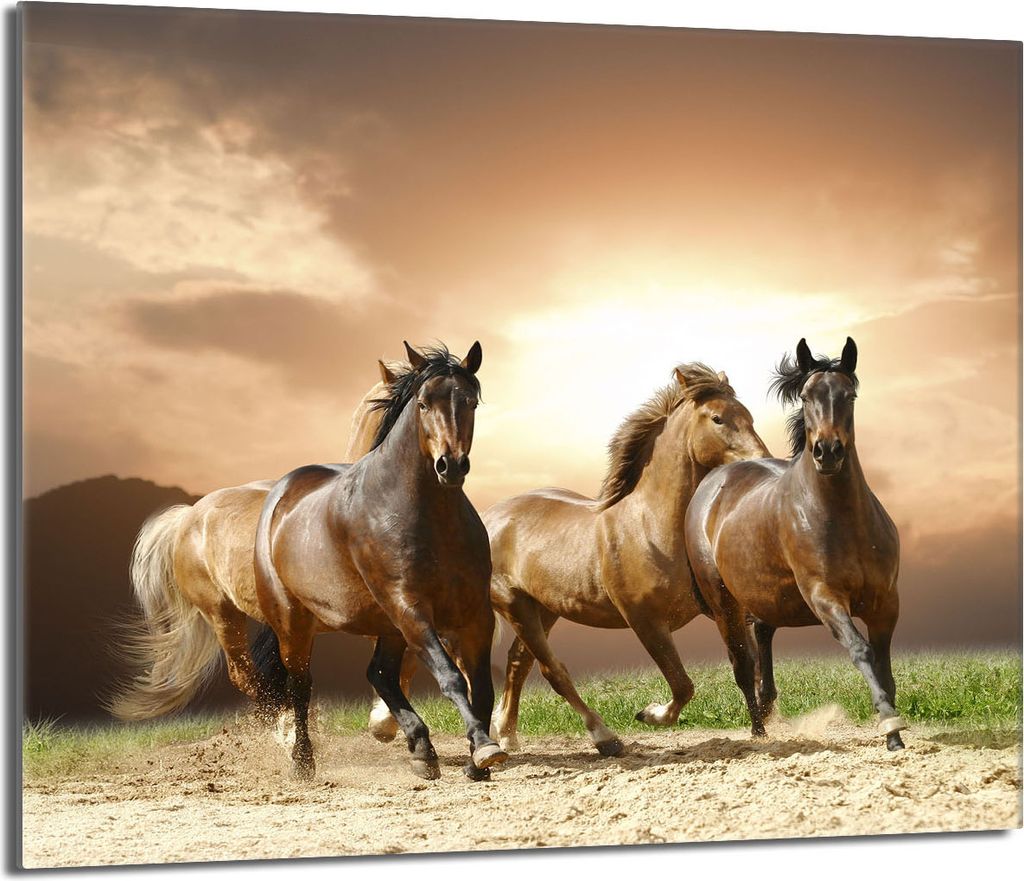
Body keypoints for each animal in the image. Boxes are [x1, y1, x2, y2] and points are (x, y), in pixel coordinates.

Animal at [253, 342, 508, 781]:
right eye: (423, 403)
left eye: (470, 402)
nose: (451, 465)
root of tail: (280, 495)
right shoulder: (411, 608)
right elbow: (451, 678)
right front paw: (485, 747)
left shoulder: (475, 614)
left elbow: (482, 685)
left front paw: (477, 759)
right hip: (295, 624)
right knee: (300, 687)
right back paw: (303, 763)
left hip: (387, 625)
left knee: (380, 673)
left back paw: (422, 750)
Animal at [485, 363, 771, 756]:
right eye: (718, 418)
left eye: (749, 416)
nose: (761, 460)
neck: (650, 526)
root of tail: (488, 517)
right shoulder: (644, 620)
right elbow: (682, 684)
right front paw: (649, 714)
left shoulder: (723, 608)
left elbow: (745, 664)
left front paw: (762, 727)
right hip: (516, 606)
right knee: (552, 670)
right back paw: (605, 738)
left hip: (544, 609)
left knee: (518, 662)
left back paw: (507, 735)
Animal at [684, 338, 907, 750]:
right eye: (805, 396)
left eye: (850, 395)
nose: (827, 452)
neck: (843, 520)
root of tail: (714, 480)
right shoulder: (824, 596)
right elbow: (862, 650)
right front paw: (890, 725)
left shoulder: (886, 602)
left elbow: (884, 665)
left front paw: (894, 731)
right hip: (724, 603)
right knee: (743, 664)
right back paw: (758, 731)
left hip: (767, 597)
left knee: (762, 638)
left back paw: (766, 706)